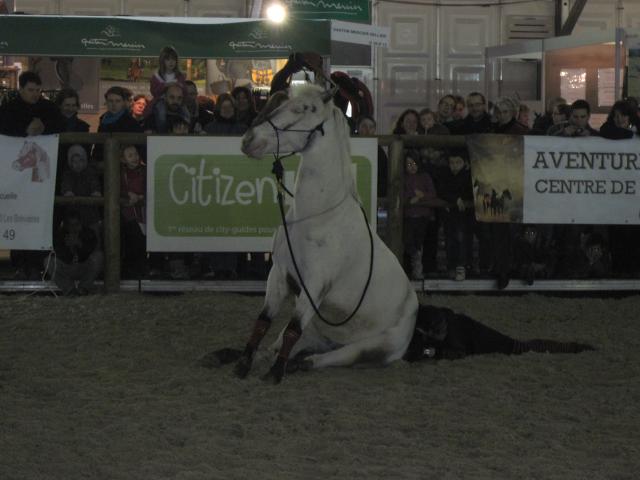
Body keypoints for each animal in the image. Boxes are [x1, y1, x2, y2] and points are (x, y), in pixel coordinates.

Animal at [236, 85, 420, 382]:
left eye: (305, 109)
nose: (249, 140)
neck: (316, 216)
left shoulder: (315, 286)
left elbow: (292, 328)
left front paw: (275, 374)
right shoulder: (278, 273)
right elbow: (263, 322)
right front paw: (243, 362)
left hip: (376, 347)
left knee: (330, 356)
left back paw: (300, 363)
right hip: (318, 330)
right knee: (287, 343)